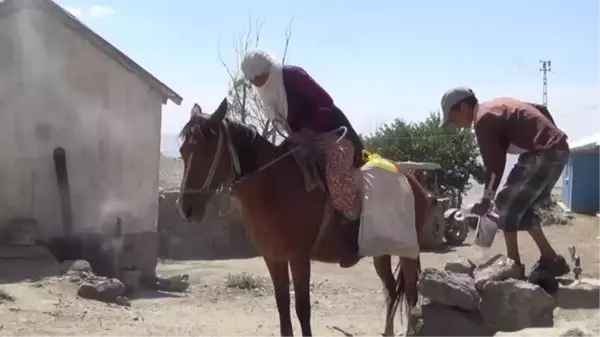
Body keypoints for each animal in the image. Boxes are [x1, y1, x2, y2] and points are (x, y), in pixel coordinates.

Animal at [176, 98, 428, 336]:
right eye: (183, 152)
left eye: (207, 151)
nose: (186, 209)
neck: (272, 187)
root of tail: (412, 179)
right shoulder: (273, 257)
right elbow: (282, 306)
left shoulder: (299, 258)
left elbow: (302, 309)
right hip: (381, 250)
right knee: (392, 289)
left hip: (407, 252)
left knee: (412, 296)